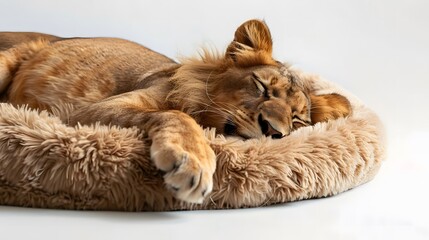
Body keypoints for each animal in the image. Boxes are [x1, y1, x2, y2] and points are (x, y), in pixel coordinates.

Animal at [0, 19, 352, 204]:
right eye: (262, 86)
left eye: (297, 119)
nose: (273, 130)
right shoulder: (87, 112)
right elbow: (177, 115)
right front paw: (192, 161)